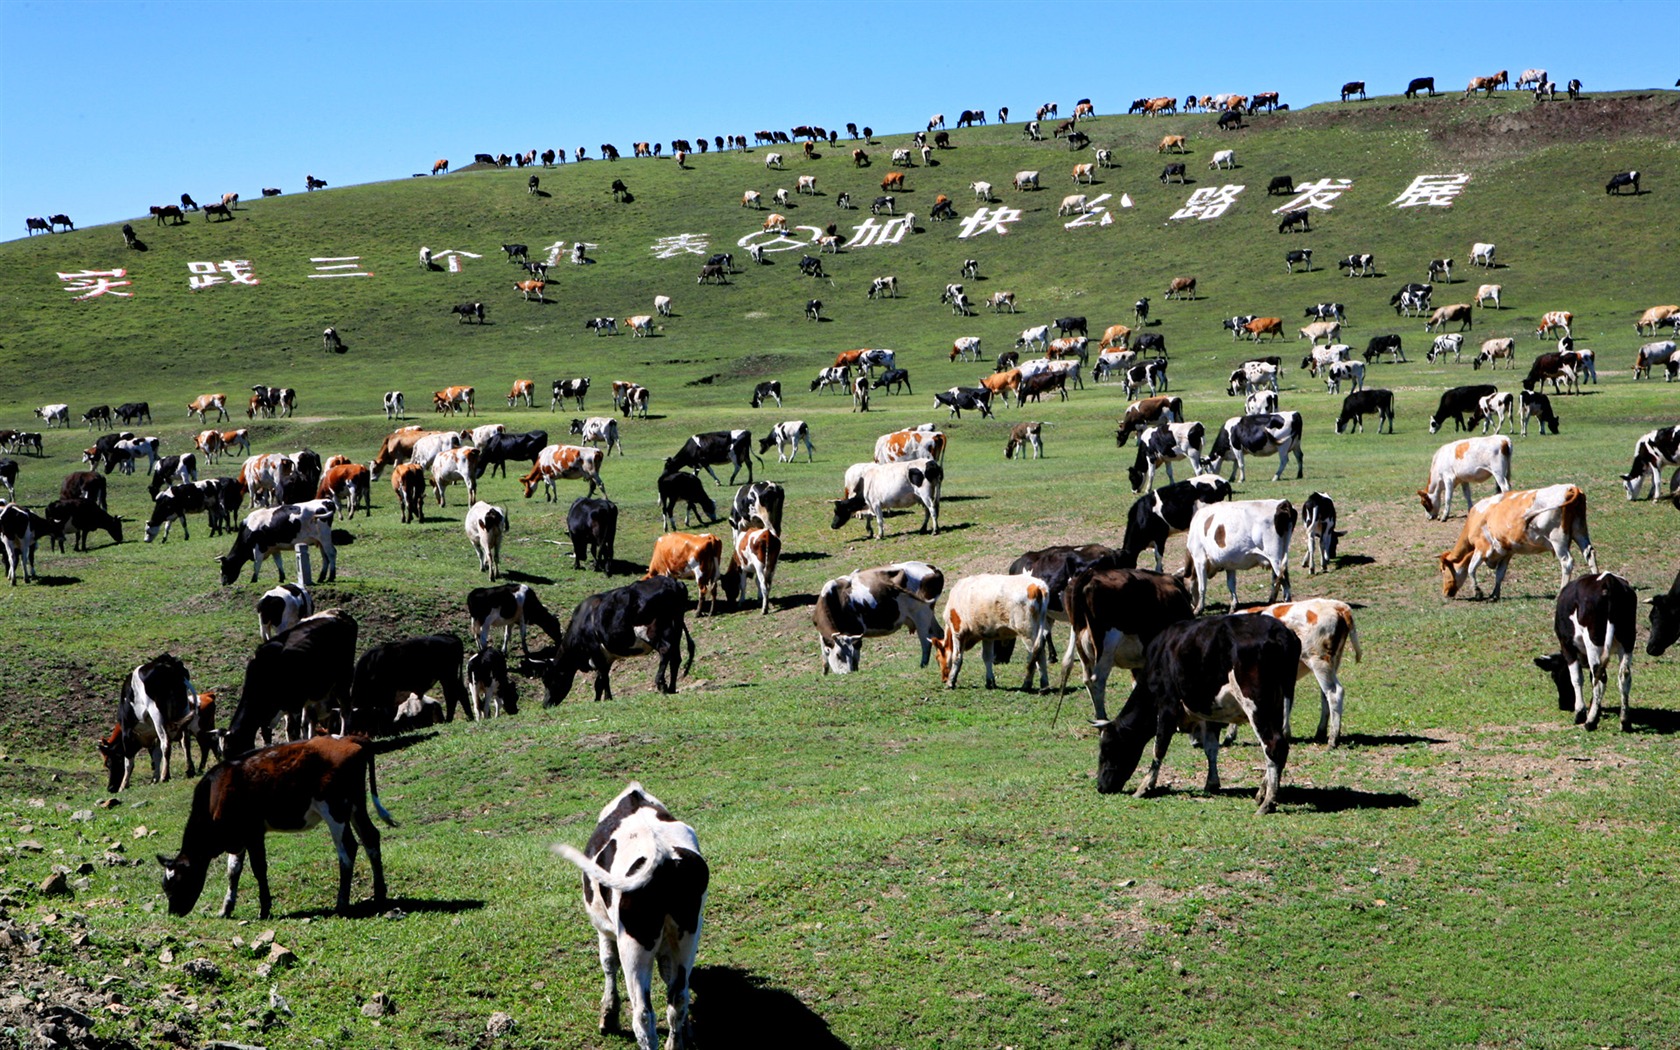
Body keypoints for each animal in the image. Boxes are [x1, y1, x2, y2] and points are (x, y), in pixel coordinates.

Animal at [154, 735, 393, 913]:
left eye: (177, 882)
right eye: (165, 885)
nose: (173, 912)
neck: (216, 794)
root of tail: (349, 739)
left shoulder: (253, 832)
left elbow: (259, 868)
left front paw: (265, 908)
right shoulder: (238, 836)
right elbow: (233, 870)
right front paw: (226, 908)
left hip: (334, 810)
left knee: (348, 849)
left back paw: (341, 903)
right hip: (356, 806)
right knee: (371, 838)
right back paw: (379, 894)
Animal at [1088, 611, 1296, 816]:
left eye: (1107, 748)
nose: (1100, 787)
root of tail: (1278, 630)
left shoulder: (1167, 706)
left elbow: (1159, 746)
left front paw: (1145, 786)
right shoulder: (1212, 713)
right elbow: (1211, 748)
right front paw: (1211, 783)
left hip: (1256, 705)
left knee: (1273, 745)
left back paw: (1268, 802)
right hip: (1279, 705)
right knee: (1279, 745)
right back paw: (1262, 793)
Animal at [1438, 483, 1592, 598]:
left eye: (1443, 570)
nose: (1445, 593)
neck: (1476, 518)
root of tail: (1571, 488)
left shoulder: (1482, 547)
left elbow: (1471, 568)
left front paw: (1478, 592)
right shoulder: (1507, 552)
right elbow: (1500, 574)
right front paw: (1494, 595)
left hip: (1558, 539)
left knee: (1567, 562)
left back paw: (1560, 593)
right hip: (1580, 531)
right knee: (1589, 554)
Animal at [1538, 574, 1632, 729]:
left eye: (1554, 676)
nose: (1563, 705)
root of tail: (1607, 578)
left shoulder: (1567, 646)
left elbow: (1577, 678)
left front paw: (1581, 712)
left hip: (1592, 642)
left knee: (1599, 677)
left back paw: (1590, 722)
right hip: (1627, 641)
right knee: (1623, 676)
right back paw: (1624, 721)